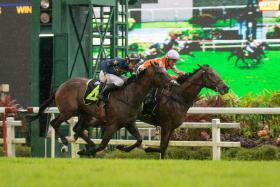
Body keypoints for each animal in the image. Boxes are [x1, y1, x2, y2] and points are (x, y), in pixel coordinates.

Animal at [28, 63, 173, 156]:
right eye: (160, 73)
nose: (172, 83)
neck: (129, 95)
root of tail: (60, 87)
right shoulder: (113, 124)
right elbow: (103, 145)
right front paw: (87, 151)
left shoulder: (129, 123)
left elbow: (139, 140)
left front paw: (122, 147)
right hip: (68, 111)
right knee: (55, 123)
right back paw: (65, 142)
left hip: (85, 113)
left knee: (77, 129)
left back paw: (89, 144)